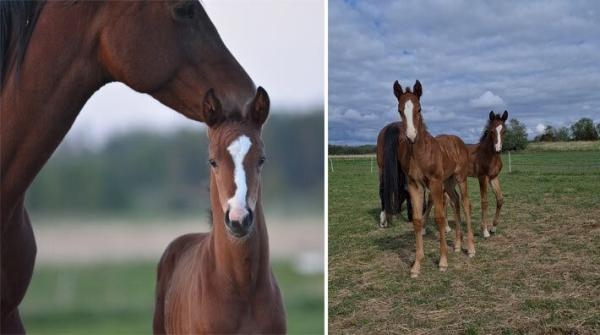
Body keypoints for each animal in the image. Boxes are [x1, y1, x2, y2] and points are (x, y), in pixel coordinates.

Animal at [392, 79, 476, 278]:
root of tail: (459, 142)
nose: (411, 136)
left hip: (460, 178)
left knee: (466, 204)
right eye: (399, 110)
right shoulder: (414, 185)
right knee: (455, 202)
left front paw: (443, 262)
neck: (419, 153)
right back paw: (458, 245)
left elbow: (439, 218)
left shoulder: (435, 183)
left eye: (419, 108)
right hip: (449, 181)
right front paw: (416, 265)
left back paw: (470, 248)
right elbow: (417, 220)